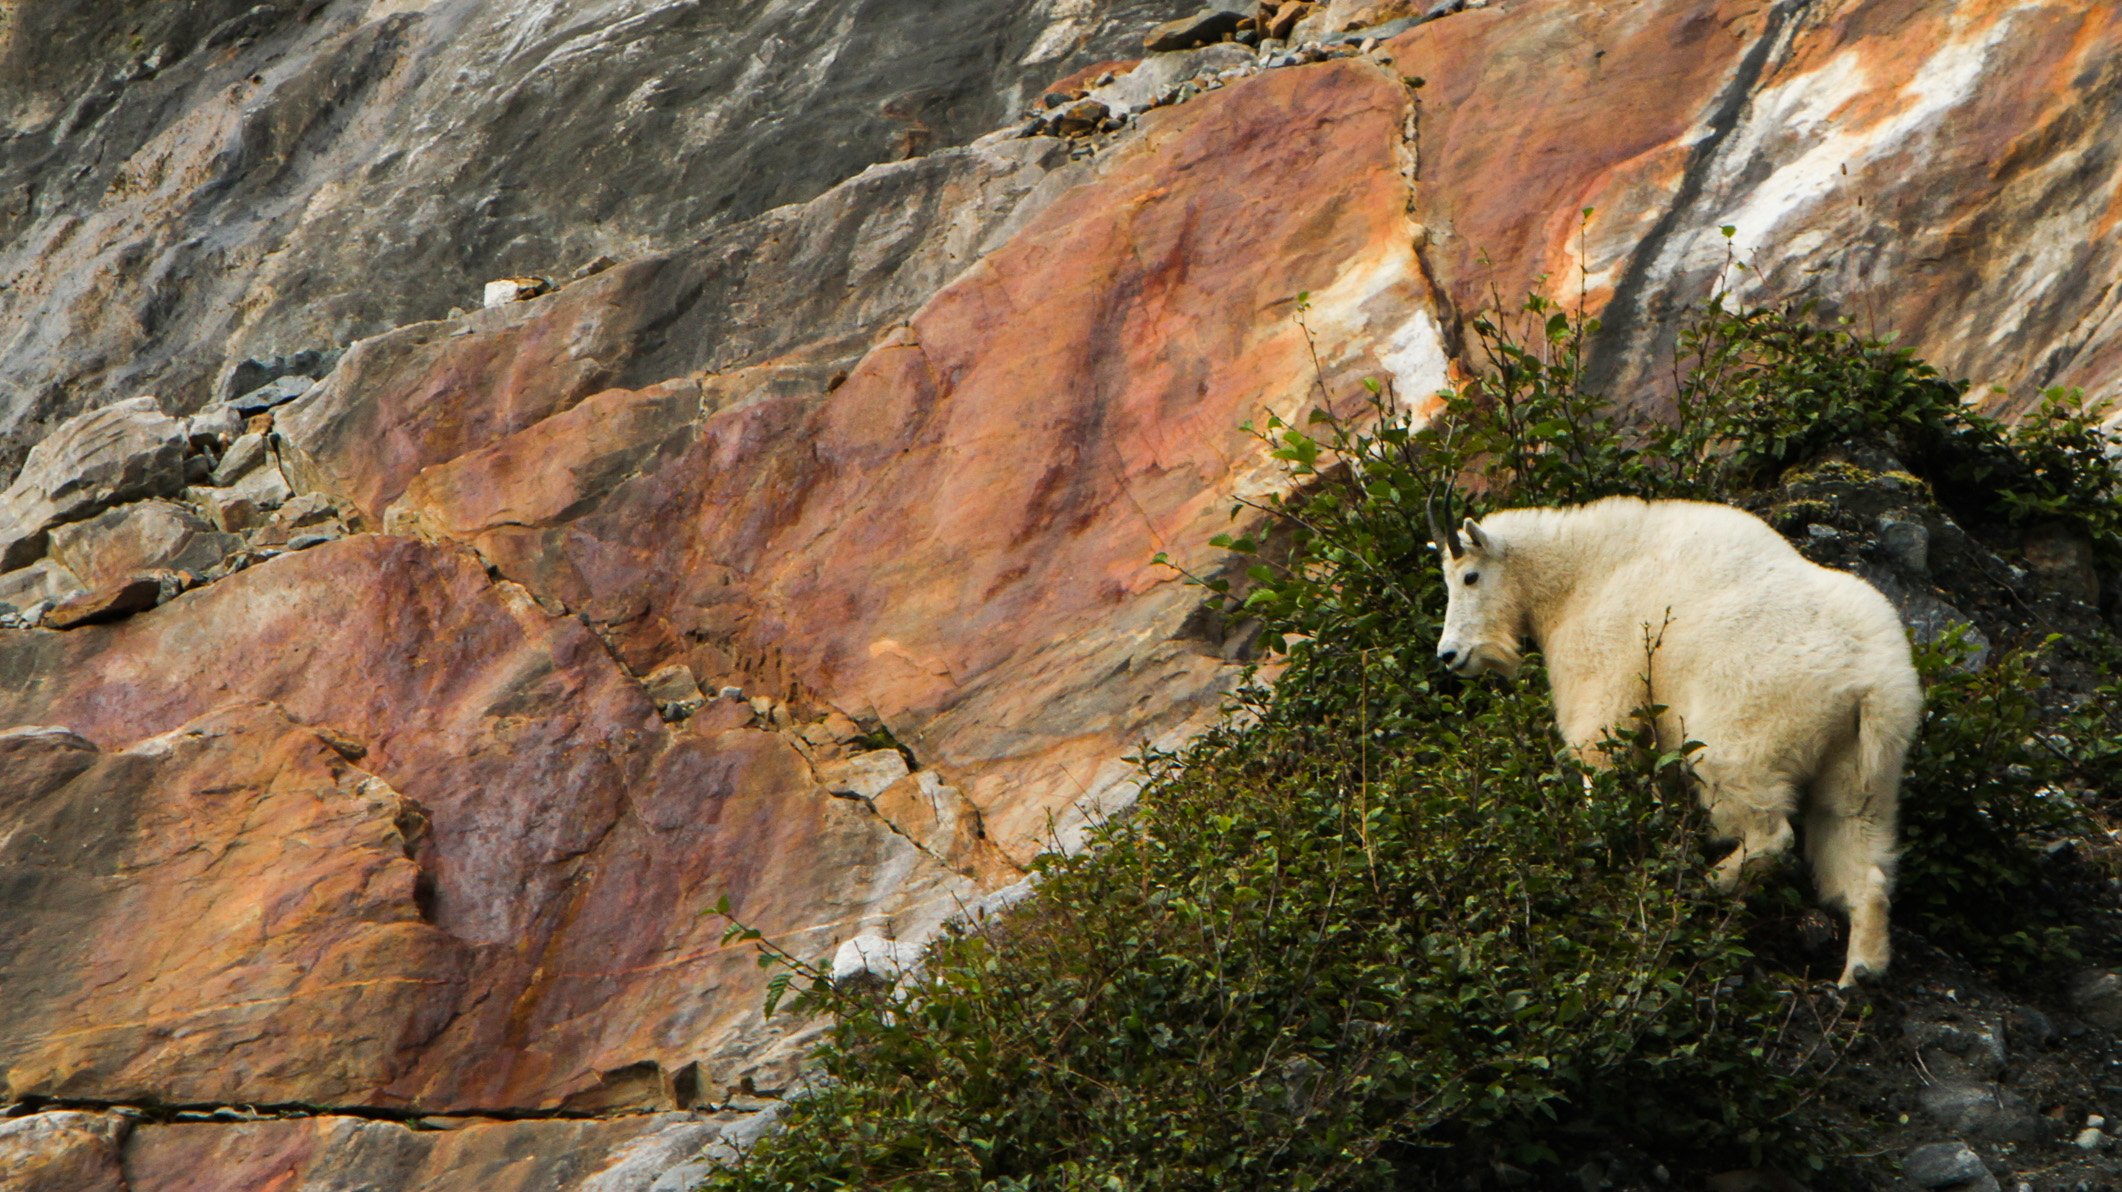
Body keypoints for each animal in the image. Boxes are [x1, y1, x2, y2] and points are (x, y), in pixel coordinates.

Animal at [1429, 495, 1923, 987]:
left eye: (1470, 576)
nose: (1450, 655)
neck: (1583, 574)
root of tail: (1869, 685)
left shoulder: (1604, 677)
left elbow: (1597, 757)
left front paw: (1597, 848)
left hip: (1741, 744)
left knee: (1770, 834)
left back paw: (1706, 884)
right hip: (1863, 768)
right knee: (1861, 854)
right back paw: (1860, 969)